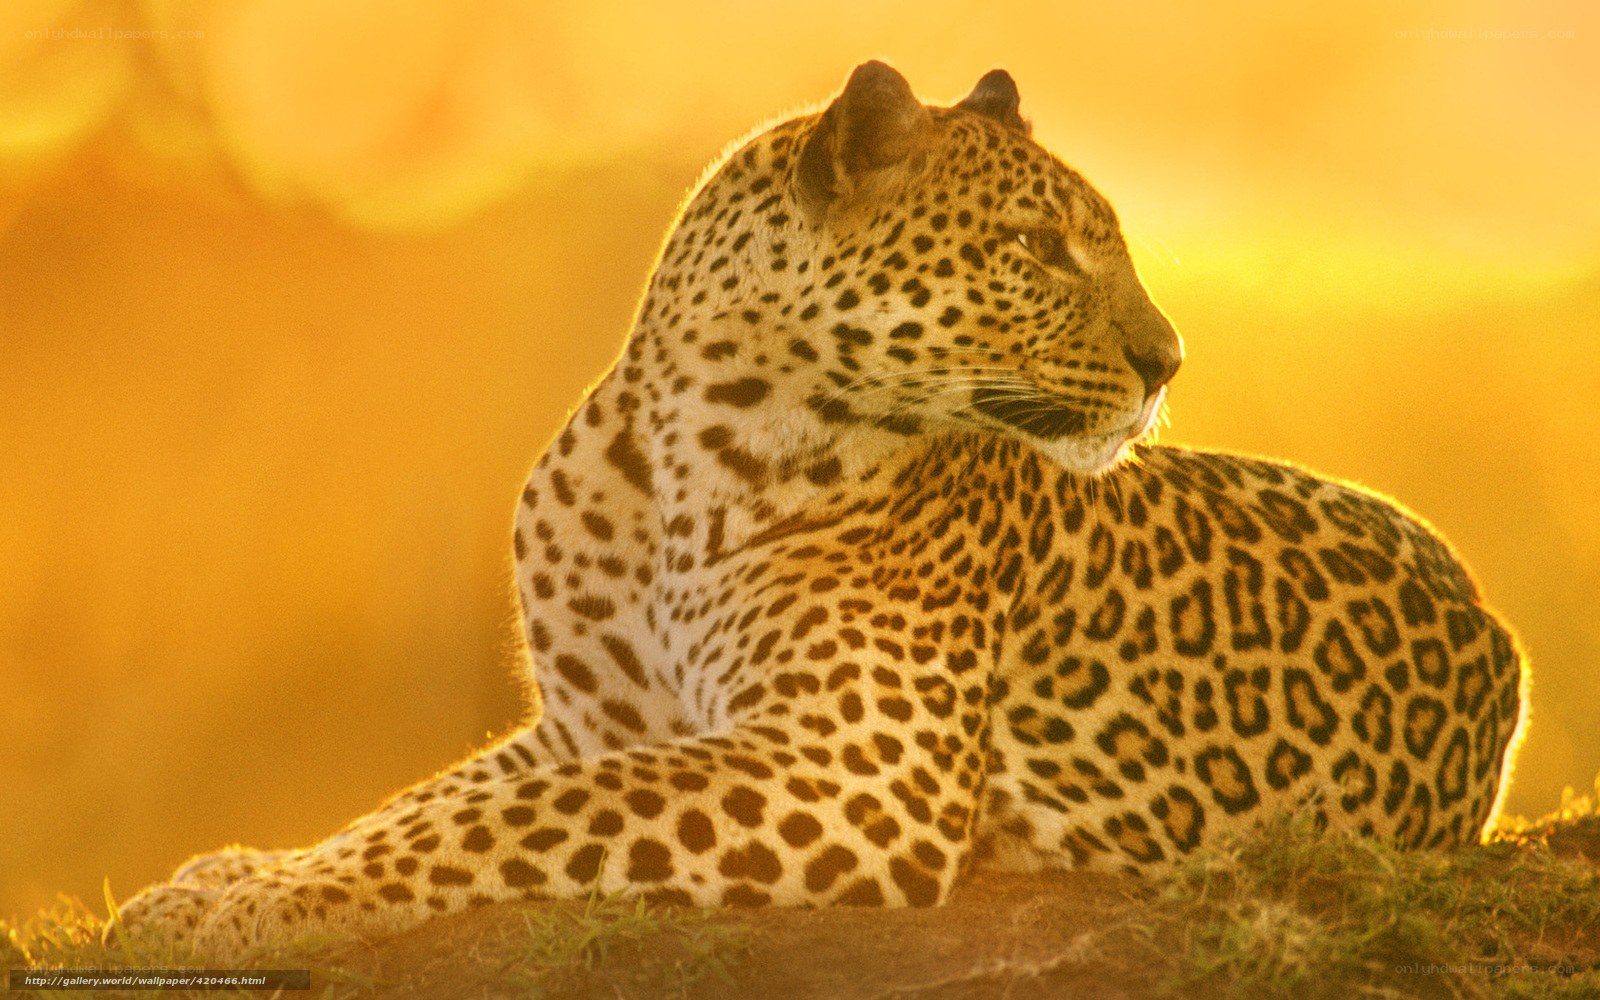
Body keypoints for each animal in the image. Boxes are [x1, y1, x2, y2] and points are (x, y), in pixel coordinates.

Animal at [113, 61, 1526, 958]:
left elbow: (498, 819)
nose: (1168, 359)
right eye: (1039, 248)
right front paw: (232, 875)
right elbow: (424, 802)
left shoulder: (855, 766)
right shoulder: (591, 722)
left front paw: (237, 909)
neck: (675, 460)